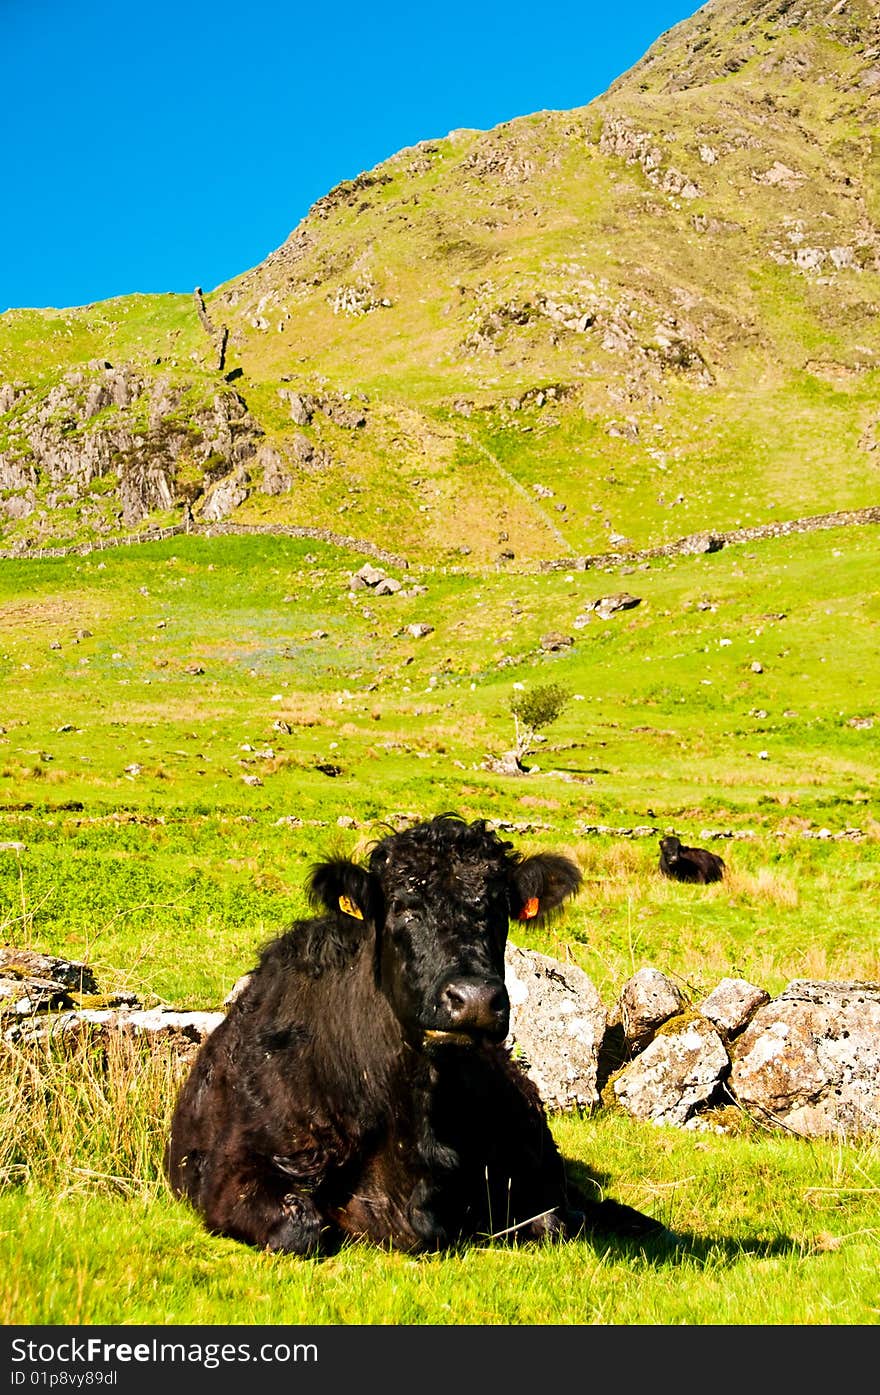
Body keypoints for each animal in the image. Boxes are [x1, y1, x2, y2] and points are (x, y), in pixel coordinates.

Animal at [166, 809, 661, 1255]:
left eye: (500, 909)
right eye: (403, 907)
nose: (474, 999)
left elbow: (553, 1220)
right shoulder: (228, 1171)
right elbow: (299, 1228)